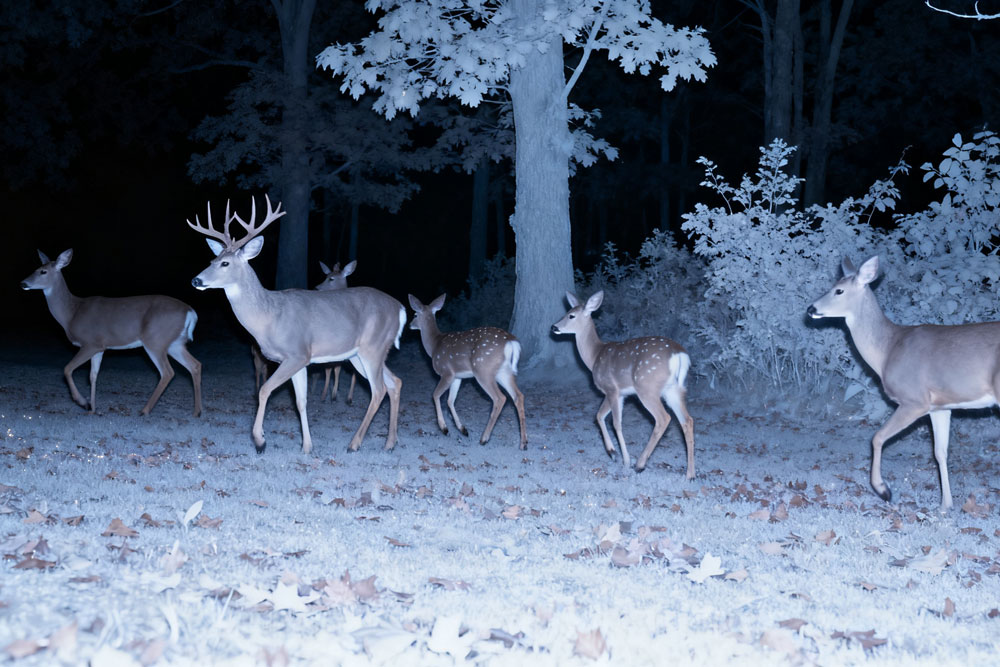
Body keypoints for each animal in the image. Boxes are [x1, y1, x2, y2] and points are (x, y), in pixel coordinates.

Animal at [20, 249, 202, 416]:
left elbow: (67, 369)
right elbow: (93, 376)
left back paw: (144, 410)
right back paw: (196, 412)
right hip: (174, 343)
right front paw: (92, 410)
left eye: (43, 271)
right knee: (194, 365)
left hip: (155, 340)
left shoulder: (91, 343)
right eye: (36, 268)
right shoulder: (100, 347)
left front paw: (82, 402)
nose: (23, 283)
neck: (72, 313)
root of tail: (191, 312)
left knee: (167, 372)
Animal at [251, 259, 359, 404]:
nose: (317, 288)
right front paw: (330, 395)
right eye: (326, 275)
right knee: (260, 368)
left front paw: (342, 396)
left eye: (331, 278)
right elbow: (333, 369)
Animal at [408, 294, 528, 449]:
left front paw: (444, 428)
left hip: (483, 370)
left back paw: (484, 438)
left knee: (500, 398)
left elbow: (435, 395)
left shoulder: (447, 372)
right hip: (504, 372)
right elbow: (451, 400)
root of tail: (511, 342)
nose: (410, 324)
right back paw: (523, 443)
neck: (434, 346)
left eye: (415, 314)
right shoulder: (457, 377)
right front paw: (463, 429)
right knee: (518, 396)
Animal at [552, 291, 695, 477]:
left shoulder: (612, 389)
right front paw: (612, 453)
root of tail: (679, 355)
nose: (554, 327)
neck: (594, 356)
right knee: (687, 420)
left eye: (571, 315)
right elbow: (599, 416)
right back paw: (690, 474)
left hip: (647, 387)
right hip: (674, 390)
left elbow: (615, 423)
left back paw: (640, 464)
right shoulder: (619, 393)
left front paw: (624, 460)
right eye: (568, 311)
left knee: (664, 418)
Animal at [808, 255, 1000, 510]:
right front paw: (945, 505)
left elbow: (877, 437)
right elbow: (940, 452)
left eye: (838, 290)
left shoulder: (914, 400)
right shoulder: (940, 407)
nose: (811, 309)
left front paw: (883, 490)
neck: (888, 349)